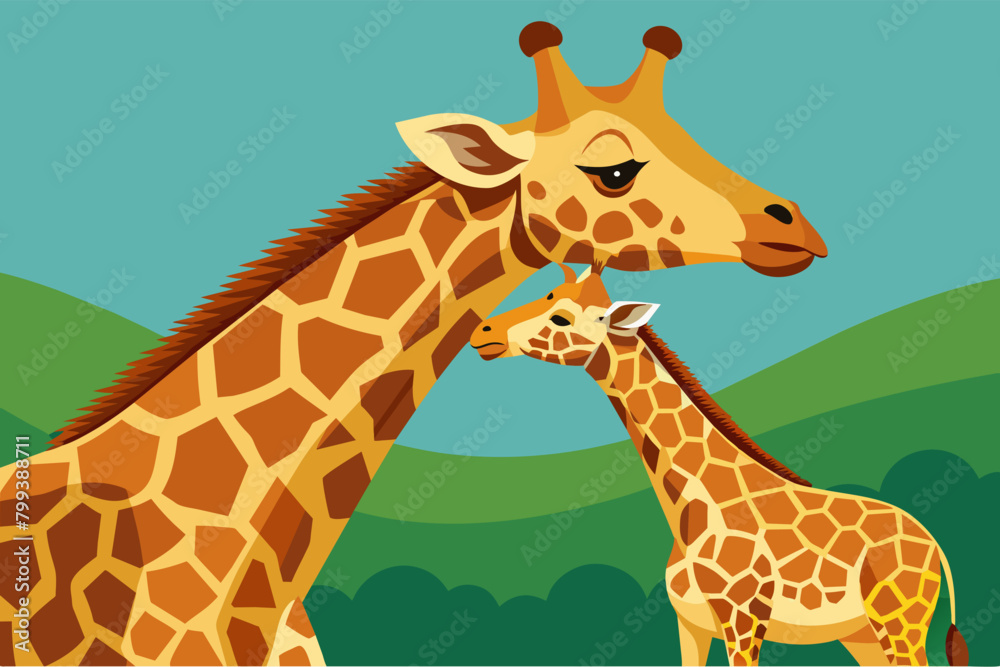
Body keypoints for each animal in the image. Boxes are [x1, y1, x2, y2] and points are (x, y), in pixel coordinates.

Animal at [470, 264, 968, 667]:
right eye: (546, 294)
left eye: (560, 317)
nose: (482, 332)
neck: (689, 510)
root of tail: (937, 546)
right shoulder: (690, 625)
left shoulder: (743, 619)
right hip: (860, 634)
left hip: (900, 621)